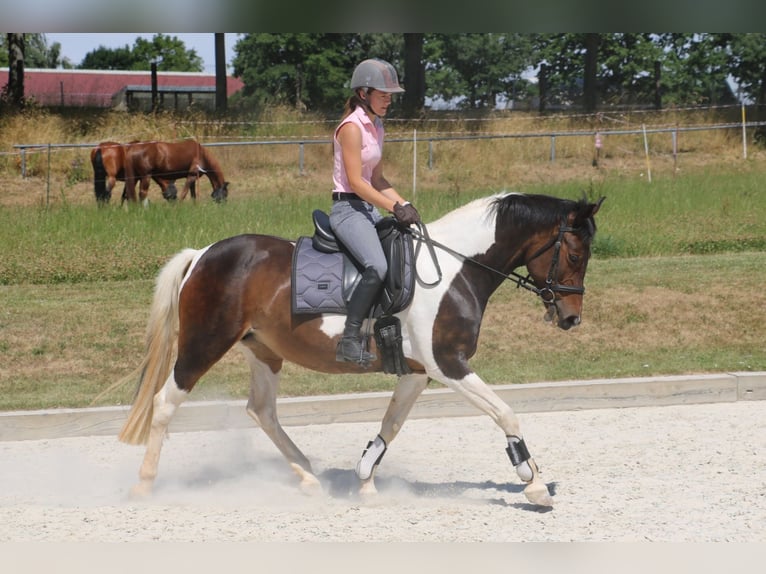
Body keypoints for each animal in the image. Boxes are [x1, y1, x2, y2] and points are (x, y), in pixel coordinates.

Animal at [116, 192, 604, 508]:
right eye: (575, 255)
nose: (571, 318)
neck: (454, 268)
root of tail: (202, 254)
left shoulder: (417, 371)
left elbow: (391, 425)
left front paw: (366, 478)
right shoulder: (449, 364)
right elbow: (505, 413)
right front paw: (532, 482)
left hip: (264, 351)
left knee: (262, 411)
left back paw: (307, 475)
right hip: (205, 343)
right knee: (165, 402)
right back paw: (143, 485)